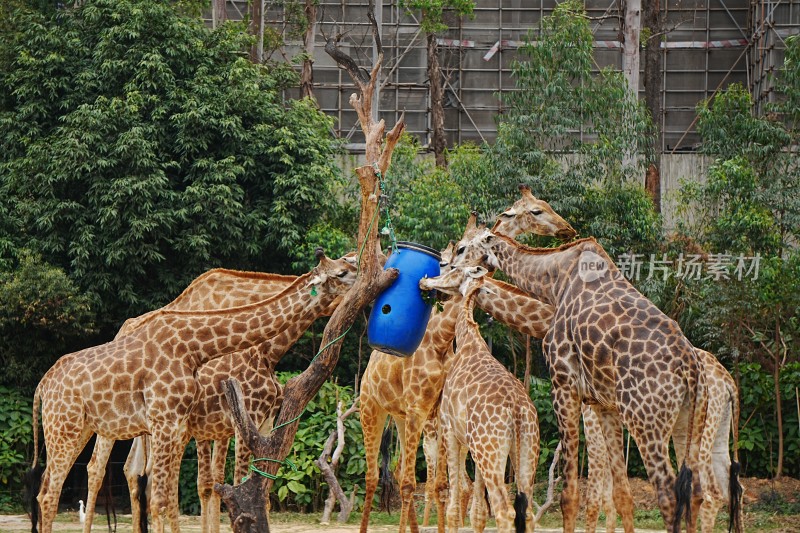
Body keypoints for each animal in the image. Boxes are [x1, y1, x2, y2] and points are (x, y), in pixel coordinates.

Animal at [28, 249, 356, 532]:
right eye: (342, 271)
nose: (362, 276)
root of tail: (42, 385)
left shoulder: (209, 425)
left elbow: (236, 488)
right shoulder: (210, 422)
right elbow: (201, 489)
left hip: (91, 428)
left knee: (103, 476)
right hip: (69, 429)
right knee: (74, 481)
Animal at [422, 264, 540, 528]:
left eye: (453, 268)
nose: (426, 281)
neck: (468, 338)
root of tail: (517, 410)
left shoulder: (450, 431)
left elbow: (454, 507)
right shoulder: (470, 443)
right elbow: (478, 512)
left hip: (489, 450)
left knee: (504, 510)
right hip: (525, 449)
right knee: (526, 511)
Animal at [456, 232, 712, 532]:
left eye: (462, 248)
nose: (446, 265)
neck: (554, 281)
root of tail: (690, 368)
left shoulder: (563, 383)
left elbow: (569, 495)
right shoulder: (605, 405)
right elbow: (622, 494)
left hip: (646, 421)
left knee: (668, 494)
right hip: (689, 418)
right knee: (695, 492)